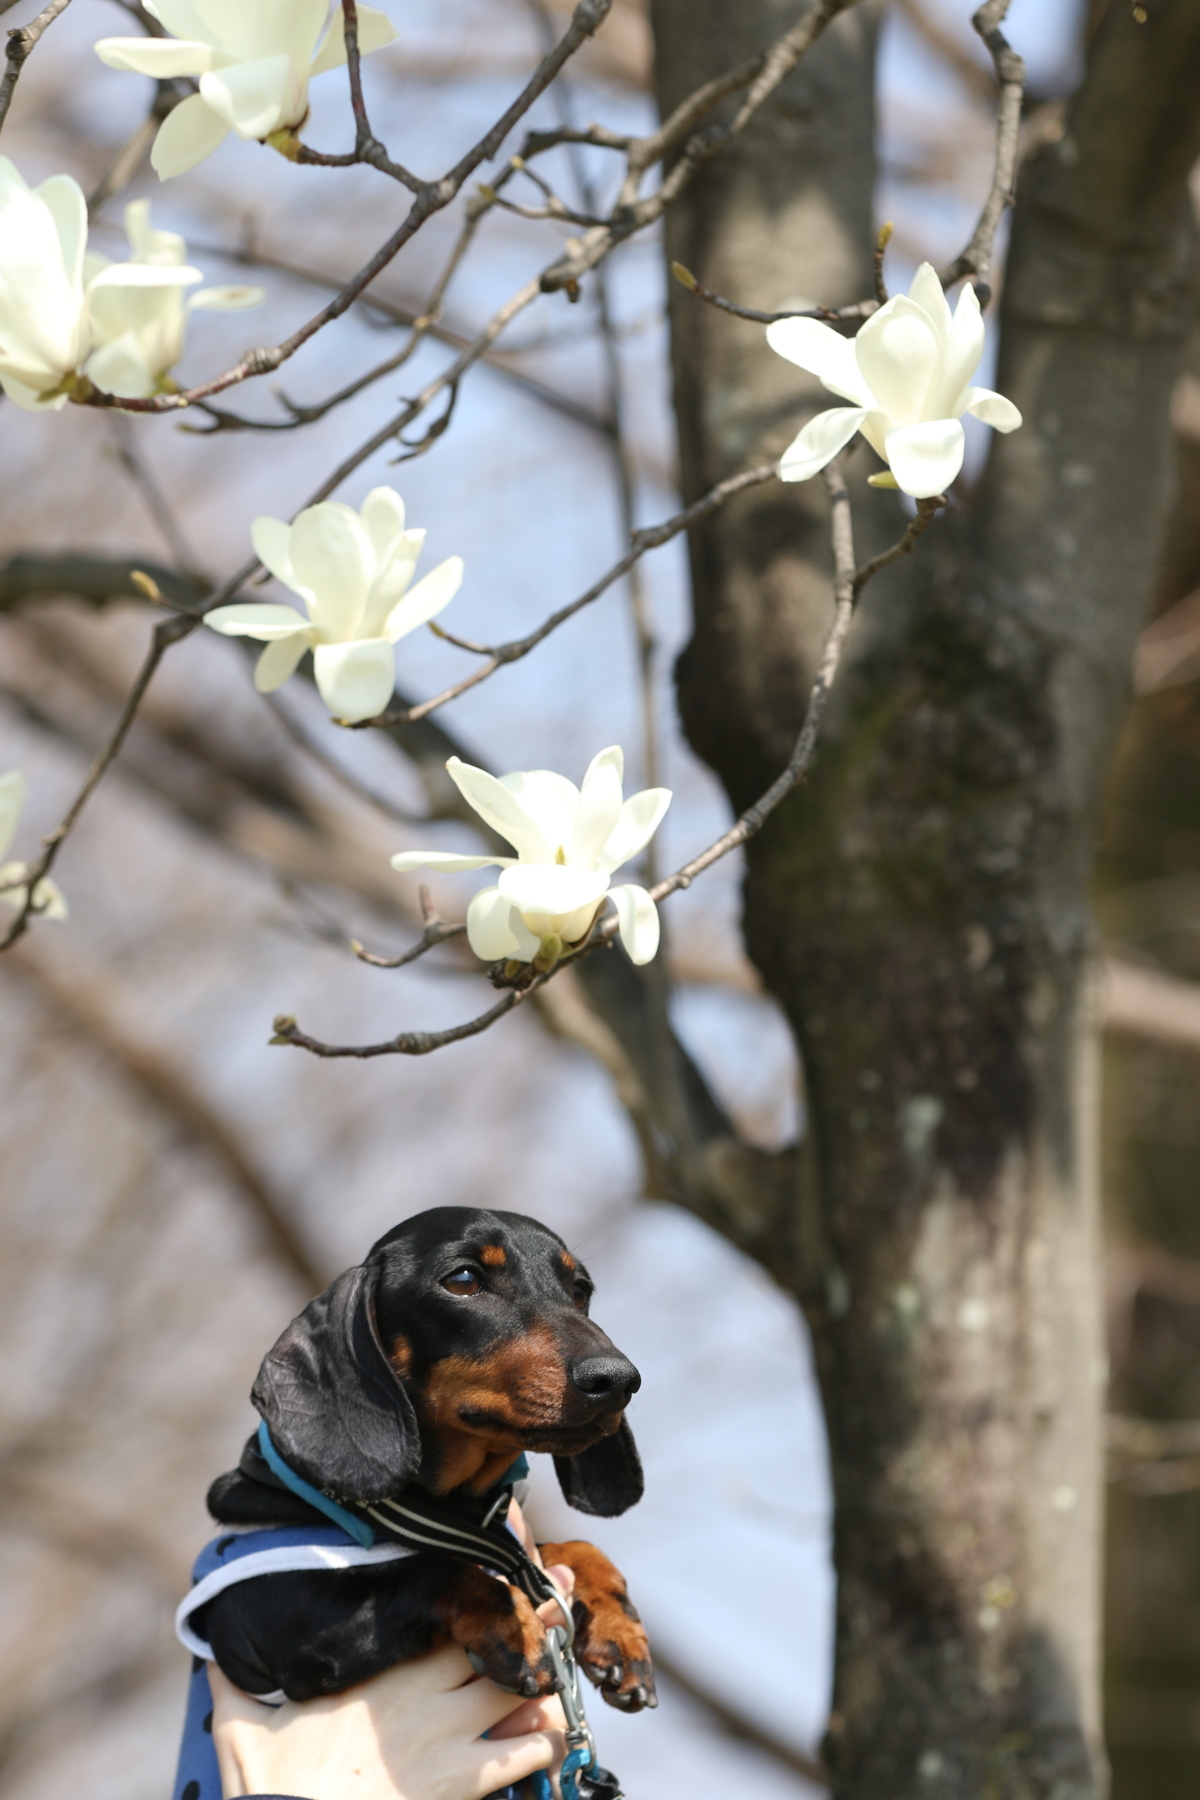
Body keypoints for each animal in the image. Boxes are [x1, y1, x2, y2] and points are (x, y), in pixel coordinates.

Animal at [193, 1209, 658, 1713]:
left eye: (579, 1290)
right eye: (464, 1279)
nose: (618, 1380)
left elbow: (576, 1550)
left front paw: (619, 1633)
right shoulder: (271, 1623)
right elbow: (434, 1569)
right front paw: (512, 1626)